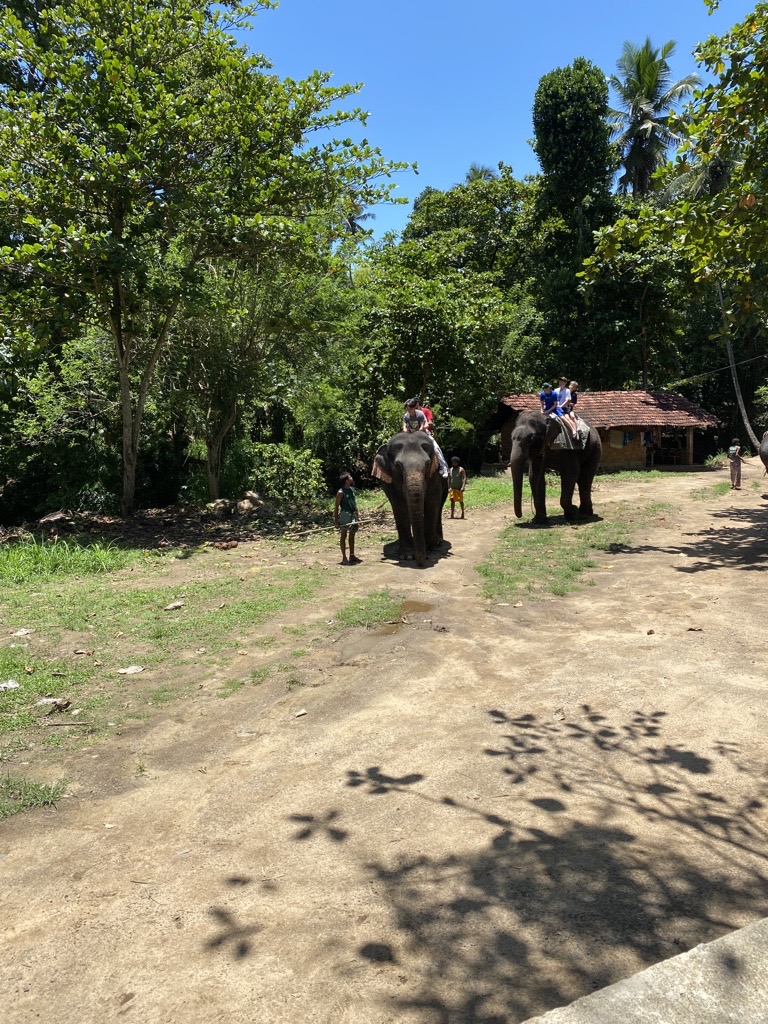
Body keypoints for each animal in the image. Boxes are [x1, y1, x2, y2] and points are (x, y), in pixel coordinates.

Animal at [372, 428, 450, 565]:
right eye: (398, 465)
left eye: (427, 464)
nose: (421, 562)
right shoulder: (391, 483)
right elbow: (400, 508)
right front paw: (407, 556)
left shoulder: (435, 475)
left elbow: (432, 504)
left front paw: (430, 546)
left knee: (439, 507)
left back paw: (438, 541)